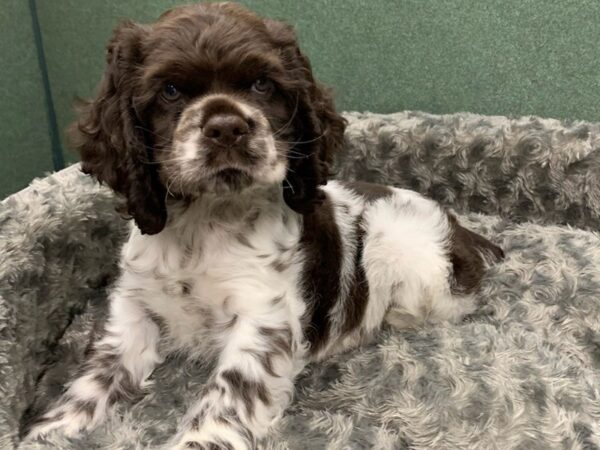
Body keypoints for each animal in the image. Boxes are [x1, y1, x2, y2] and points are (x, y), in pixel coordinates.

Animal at [27, 2, 506, 446]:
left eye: (262, 84)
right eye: (170, 91)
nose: (227, 127)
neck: (205, 220)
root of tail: (461, 229)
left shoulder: (262, 319)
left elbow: (226, 398)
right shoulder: (133, 309)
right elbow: (92, 382)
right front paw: (47, 433)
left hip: (407, 255)